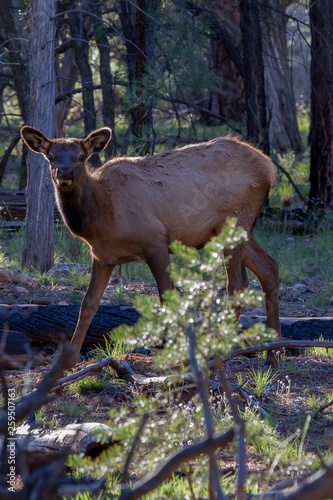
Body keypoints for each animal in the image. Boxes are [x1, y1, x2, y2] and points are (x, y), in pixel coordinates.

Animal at [20, 126, 280, 368]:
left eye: (81, 156)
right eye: (51, 156)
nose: (64, 173)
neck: (99, 214)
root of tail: (269, 167)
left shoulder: (156, 242)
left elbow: (167, 297)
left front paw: (175, 355)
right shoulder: (103, 257)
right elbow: (88, 303)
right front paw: (69, 360)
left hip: (233, 223)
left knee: (237, 284)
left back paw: (220, 351)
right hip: (237, 231)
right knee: (269, 267)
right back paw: (273, 353)